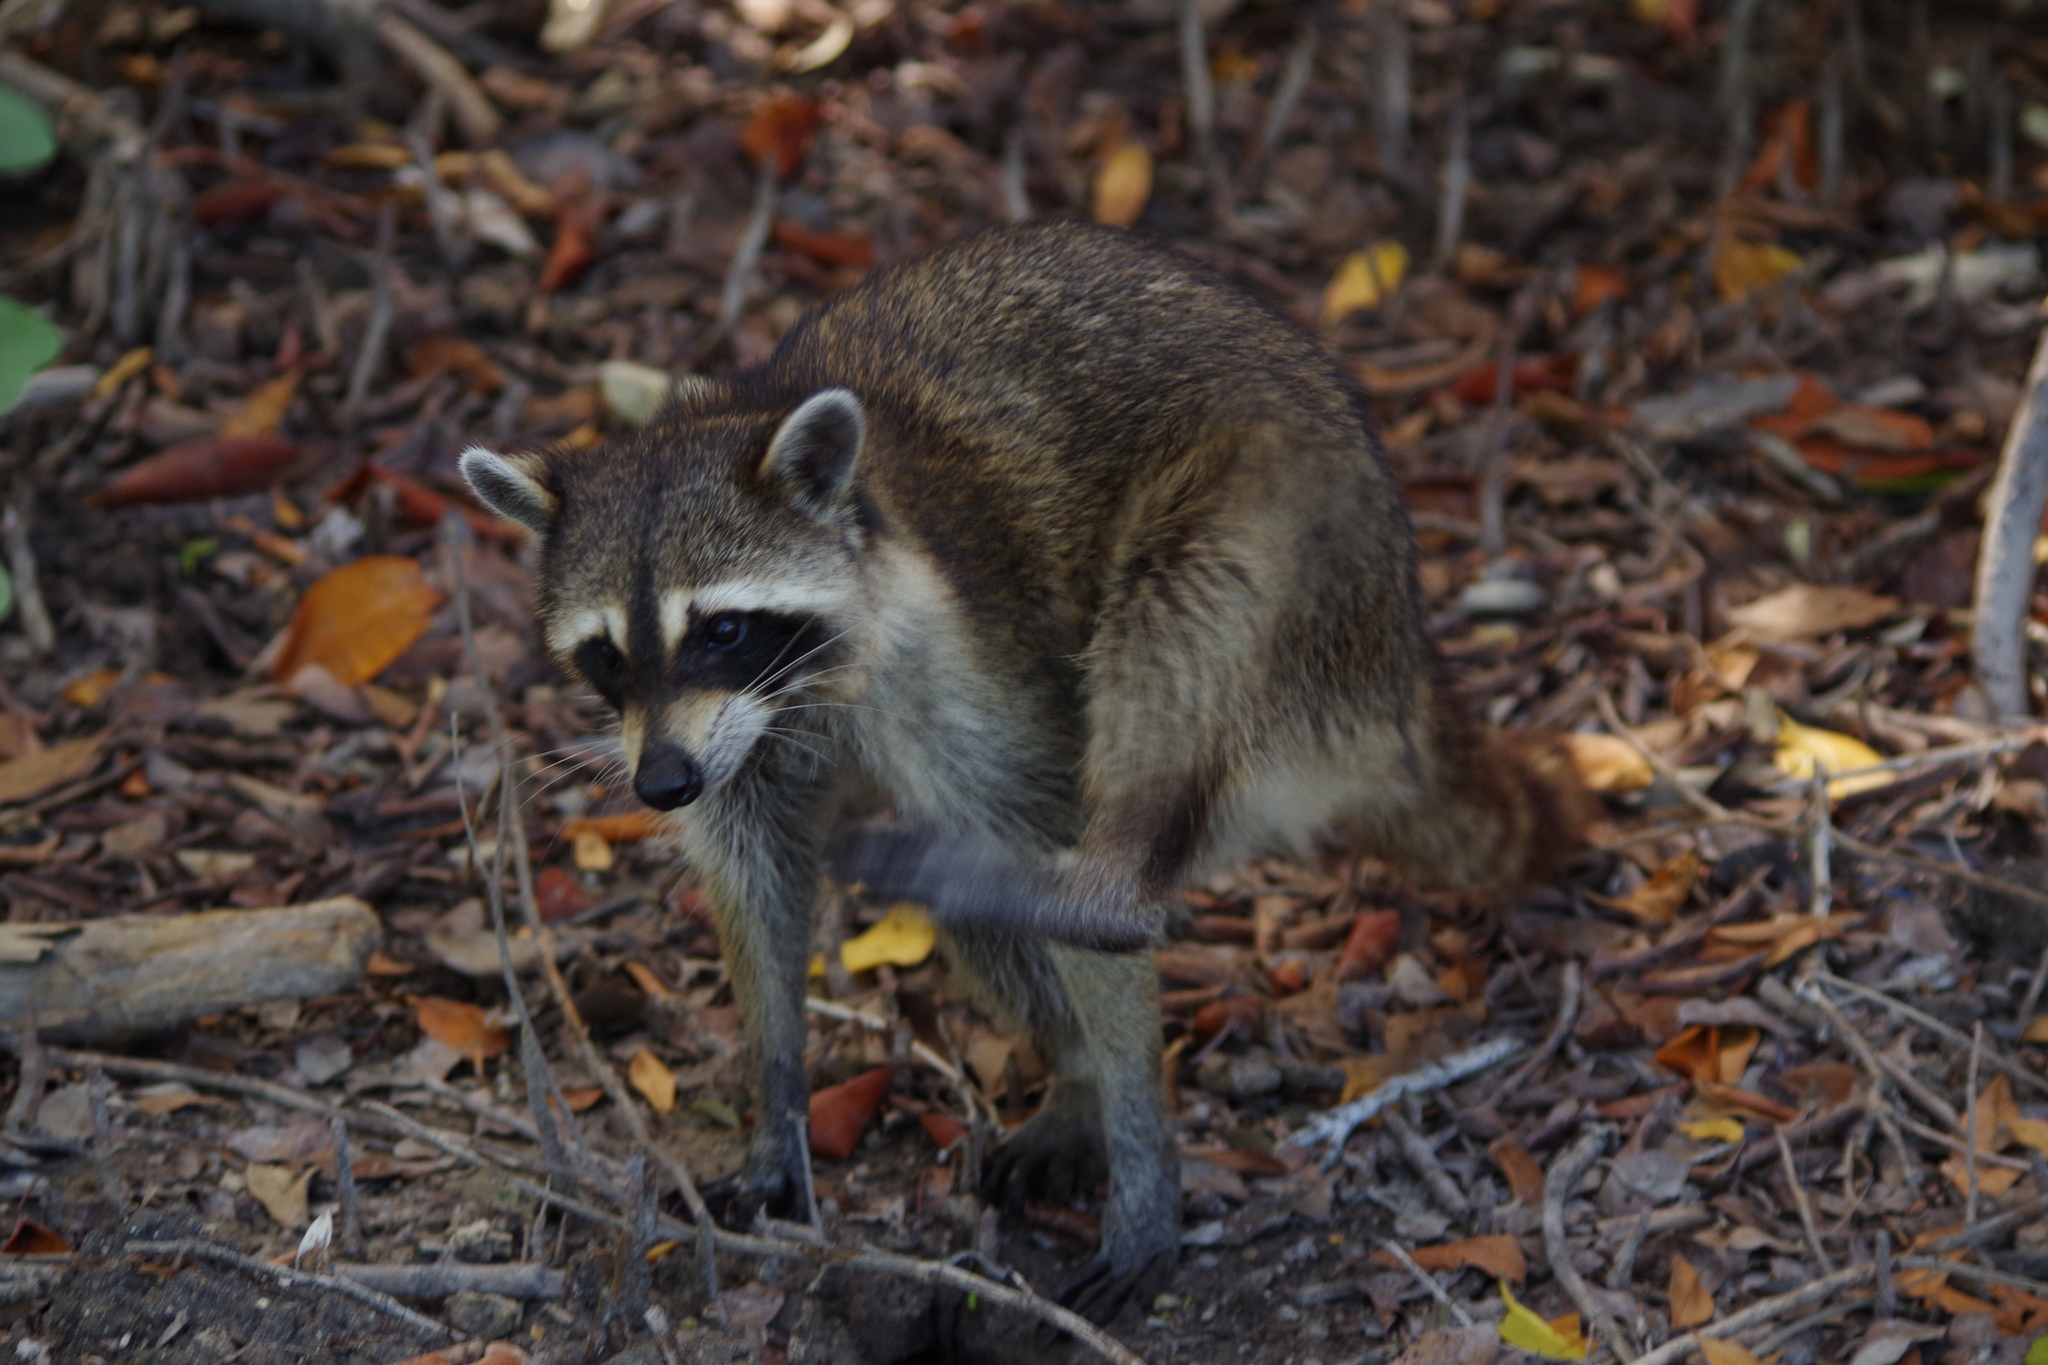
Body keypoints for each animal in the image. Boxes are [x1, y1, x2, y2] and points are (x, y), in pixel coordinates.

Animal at [464, 222, 1581, 1326]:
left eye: (722, 630)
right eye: (606, 656)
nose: (659, 787)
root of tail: (1401, 649)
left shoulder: (963, 658)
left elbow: (1037, 812)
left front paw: (1141, 1149)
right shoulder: (731, 749)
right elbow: (756, 883)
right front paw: (774, 1090)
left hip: (1293, 543)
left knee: (1169, 641)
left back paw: (1096, 920)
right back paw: (1073, 1070)